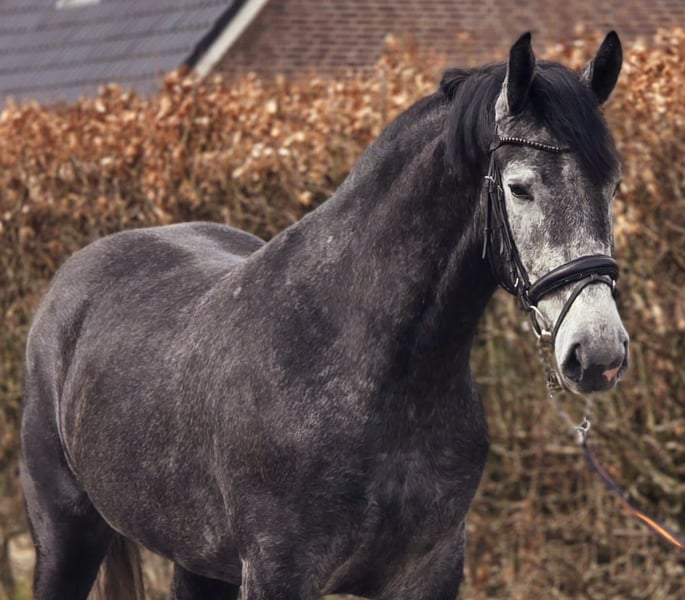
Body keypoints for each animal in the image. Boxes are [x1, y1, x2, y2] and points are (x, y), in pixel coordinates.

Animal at [21, 32, 628, 599]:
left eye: (613, 185)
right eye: (520, 188)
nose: (598, 351)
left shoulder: (429, 573)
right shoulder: (278, 573)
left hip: (198, 560)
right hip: (67, 535)